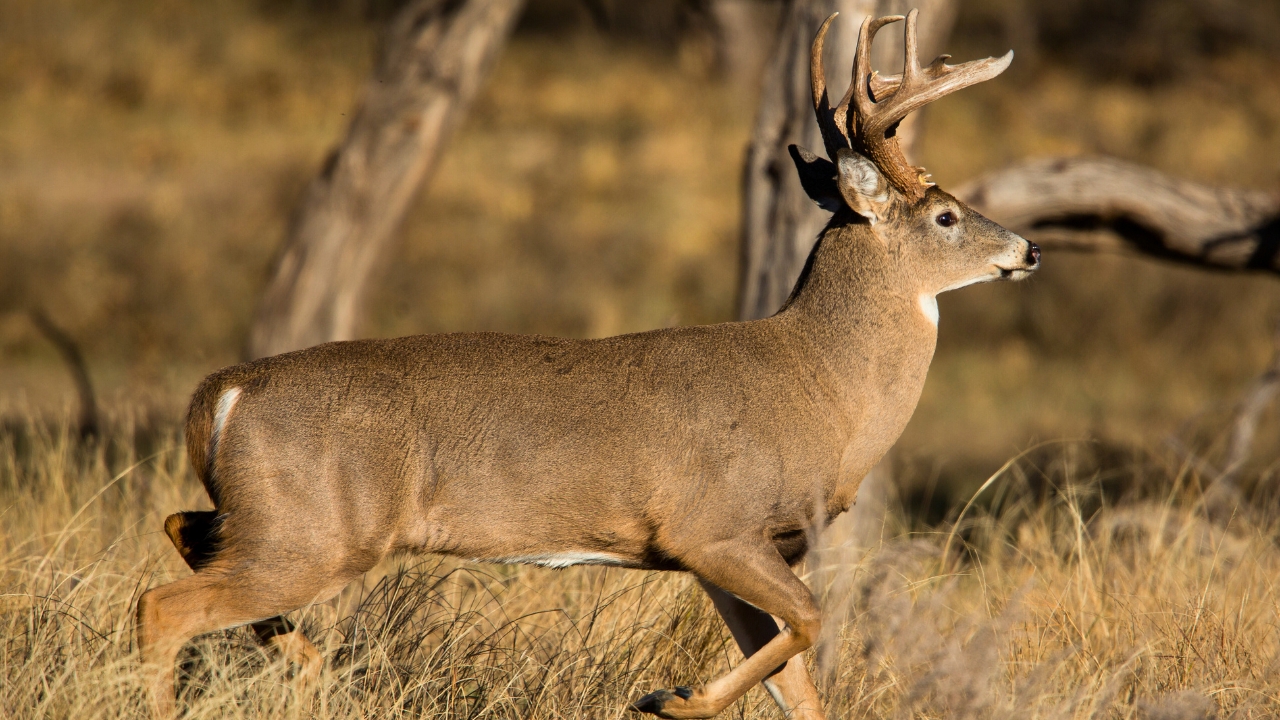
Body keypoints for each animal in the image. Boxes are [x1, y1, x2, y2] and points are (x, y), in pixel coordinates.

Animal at [136, 9, 1036, 719]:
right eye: (947, 216)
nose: (1027, 249)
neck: (822, 386)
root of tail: (222, 394)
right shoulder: (712, 524)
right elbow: (811, 622)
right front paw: (669, 697)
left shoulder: (742, 549)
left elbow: (802, 683)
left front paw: (681, 695)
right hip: (315, 532)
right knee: (163, 606)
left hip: (273, 522)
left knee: (184, 533)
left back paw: (314, 665)